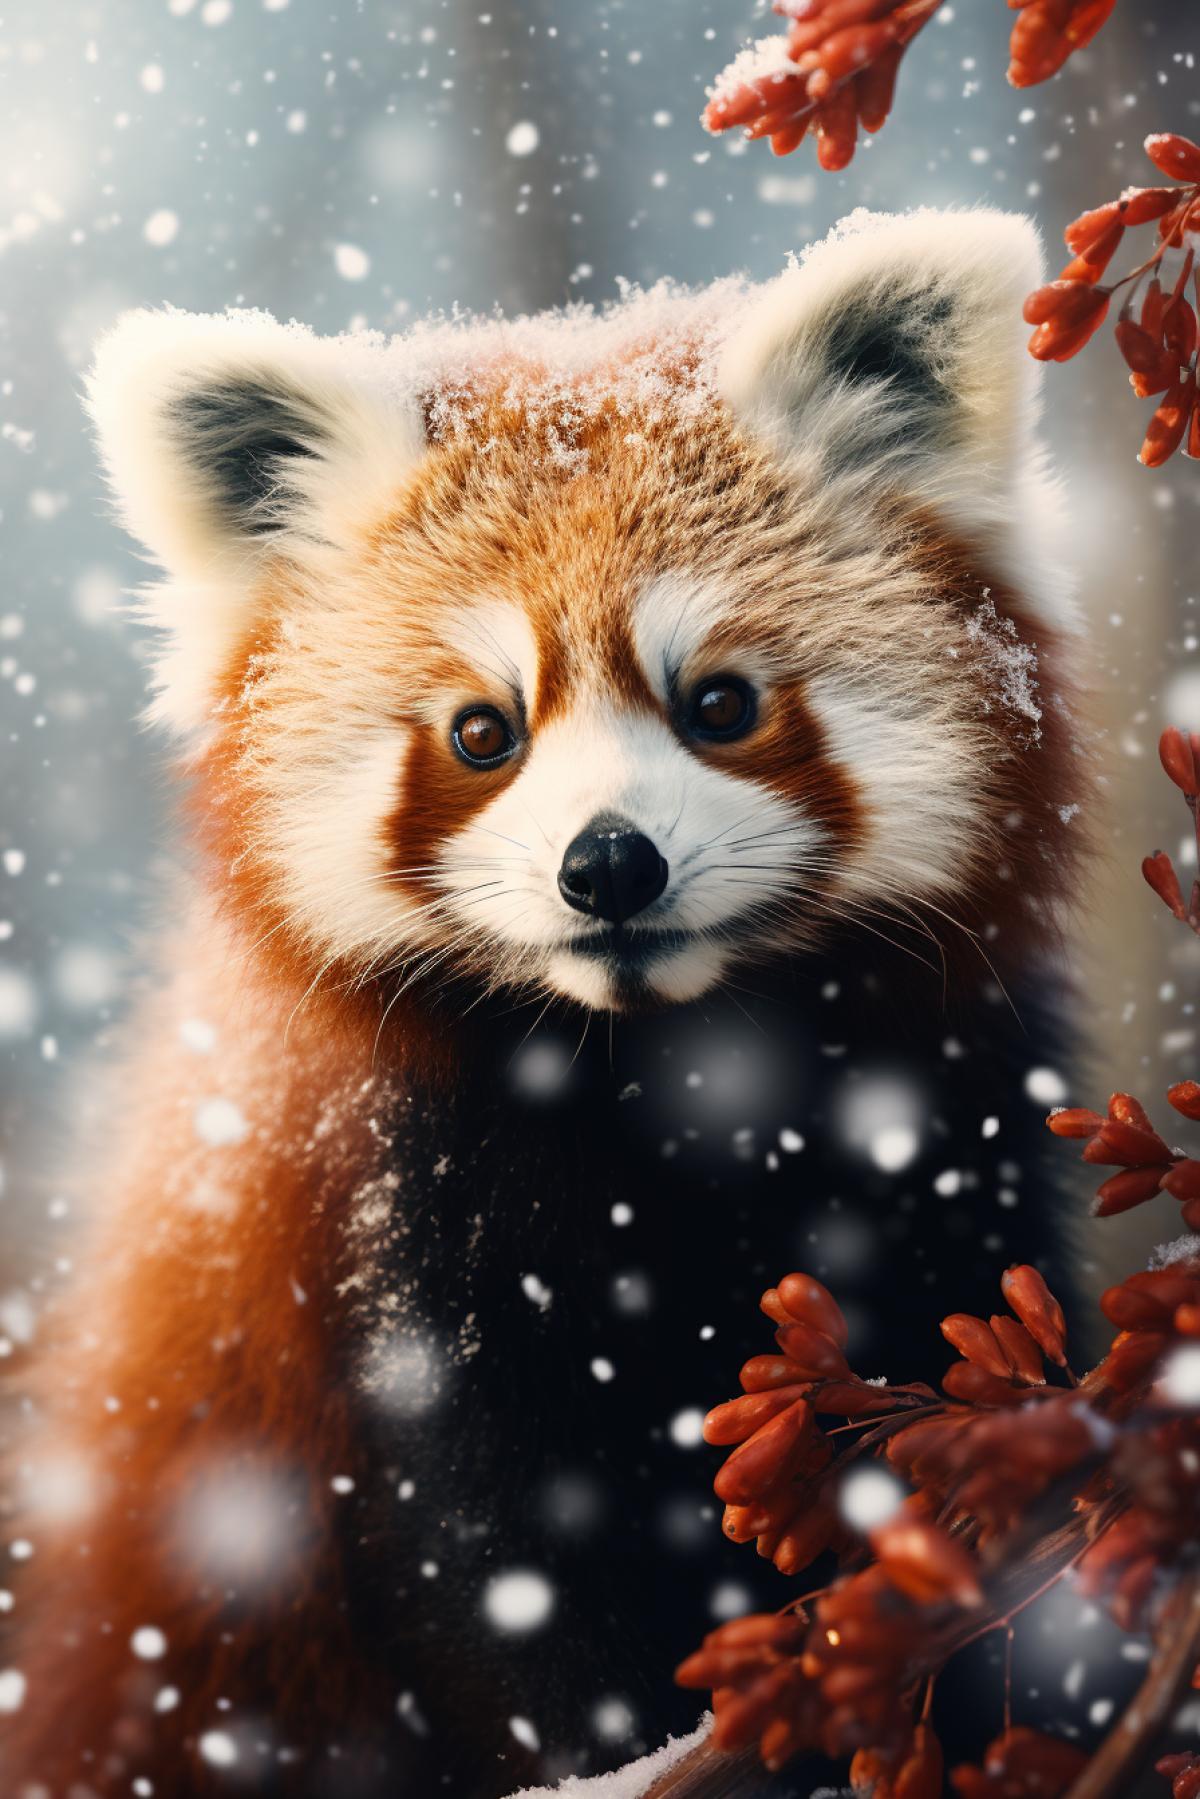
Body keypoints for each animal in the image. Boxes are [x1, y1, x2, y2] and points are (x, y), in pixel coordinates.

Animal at [2, 208, 1087, 1799]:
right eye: (482, 732)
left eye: (719, 702)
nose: (609, 862)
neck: (679, 1074)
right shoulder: (392, 1243)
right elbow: (499, 1575)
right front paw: (614, 1748)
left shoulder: (957, 1120)